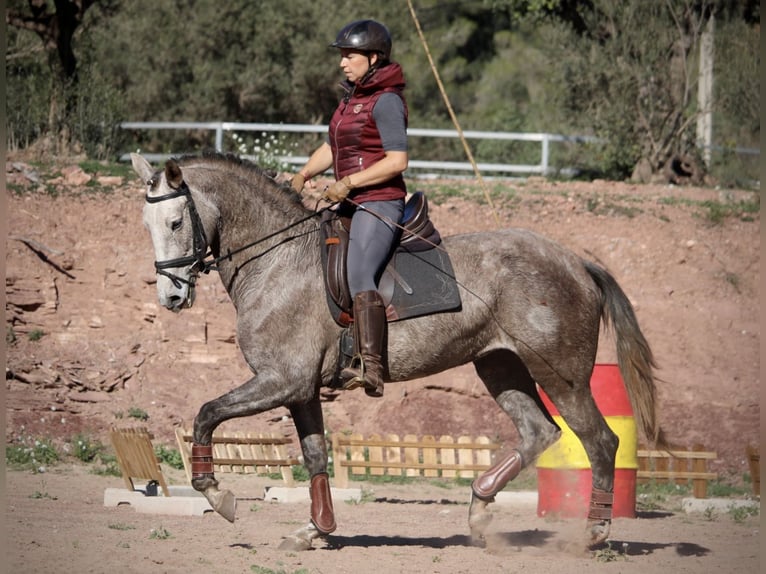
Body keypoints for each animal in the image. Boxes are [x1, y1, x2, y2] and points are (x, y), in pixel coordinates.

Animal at [132, 152, 660, 552]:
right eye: (148, 226)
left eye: (176, 222)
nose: (172, 297)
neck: (277, 260)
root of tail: (577, 263)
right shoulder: (300, 390)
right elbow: (315, 454)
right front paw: (316, 529)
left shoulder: (282, 381)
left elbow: (207, 413)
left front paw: (216, 495)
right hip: (499, 365)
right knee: (538, 432)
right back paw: (479, 510)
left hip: (561, 375)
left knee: (600, 441)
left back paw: (594, 531)